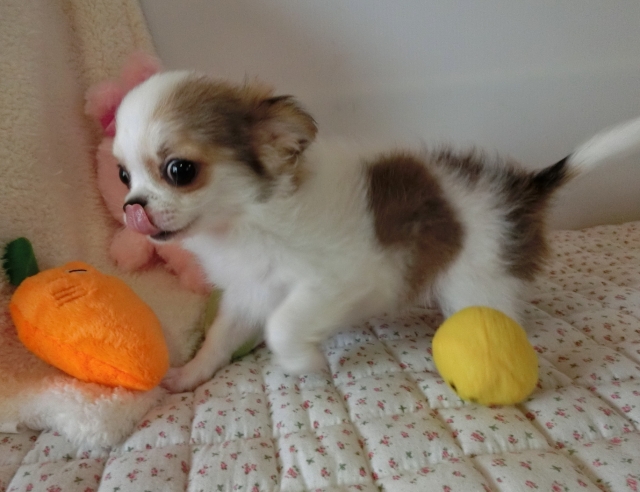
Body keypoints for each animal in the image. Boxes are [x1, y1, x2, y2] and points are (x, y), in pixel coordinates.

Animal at [113, 70, 640, 392]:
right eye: (123, 175)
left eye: (179, 170)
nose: (131, 208)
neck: (245, 220)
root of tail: (522, 189)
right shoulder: (250, 292)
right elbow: (221, 338)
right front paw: (190, 374)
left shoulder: (334, 281)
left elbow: (282, 324)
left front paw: (305, 364)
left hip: (477, 284)